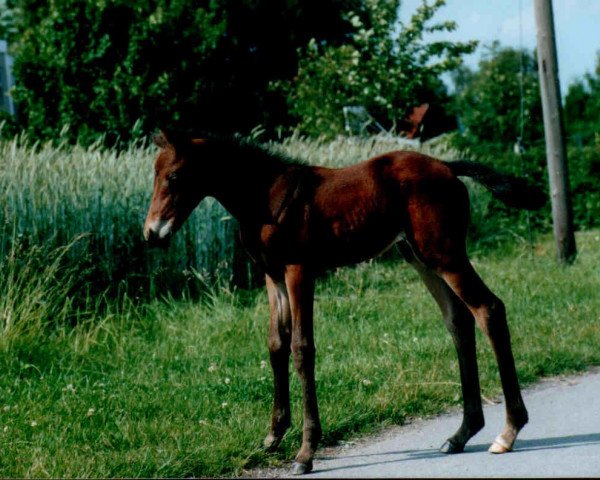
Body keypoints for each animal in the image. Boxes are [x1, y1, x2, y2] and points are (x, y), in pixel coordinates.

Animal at [143, 129, 548, 474]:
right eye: (154, 173)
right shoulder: (272, 277)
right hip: (419, 257)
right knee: (458, 321)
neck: (265, 195)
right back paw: (462, 434)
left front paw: (306, 451)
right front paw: (273, 436)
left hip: (445, 255)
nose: (151, 233)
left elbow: (302, 348)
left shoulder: (299, 271)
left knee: (488, 309)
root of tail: (447, 166)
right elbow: (276, 345)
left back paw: (508, 431)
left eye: (174, 176)